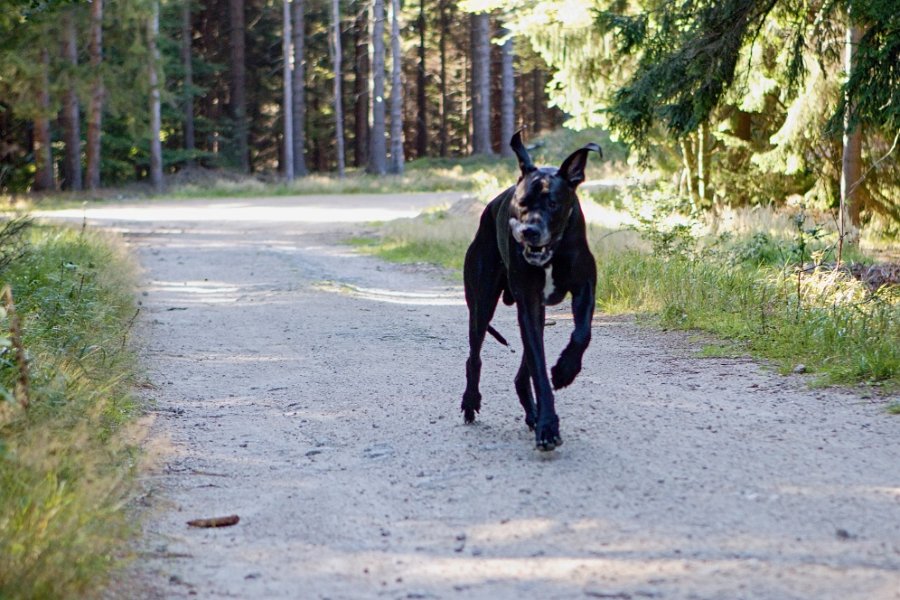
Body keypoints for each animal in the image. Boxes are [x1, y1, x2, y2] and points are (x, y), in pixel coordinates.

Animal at [460, 131, 600, 450]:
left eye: (553, 204)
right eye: (520, 202)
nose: (529, 231)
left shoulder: (584, 289)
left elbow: (582, 334)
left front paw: (565, 370)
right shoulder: (529, 303)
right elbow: (539, 369)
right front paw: (548, 426)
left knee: (521, 373)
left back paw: (532, 411)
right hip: (482, 304)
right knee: (474, 356)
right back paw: (471, 402)